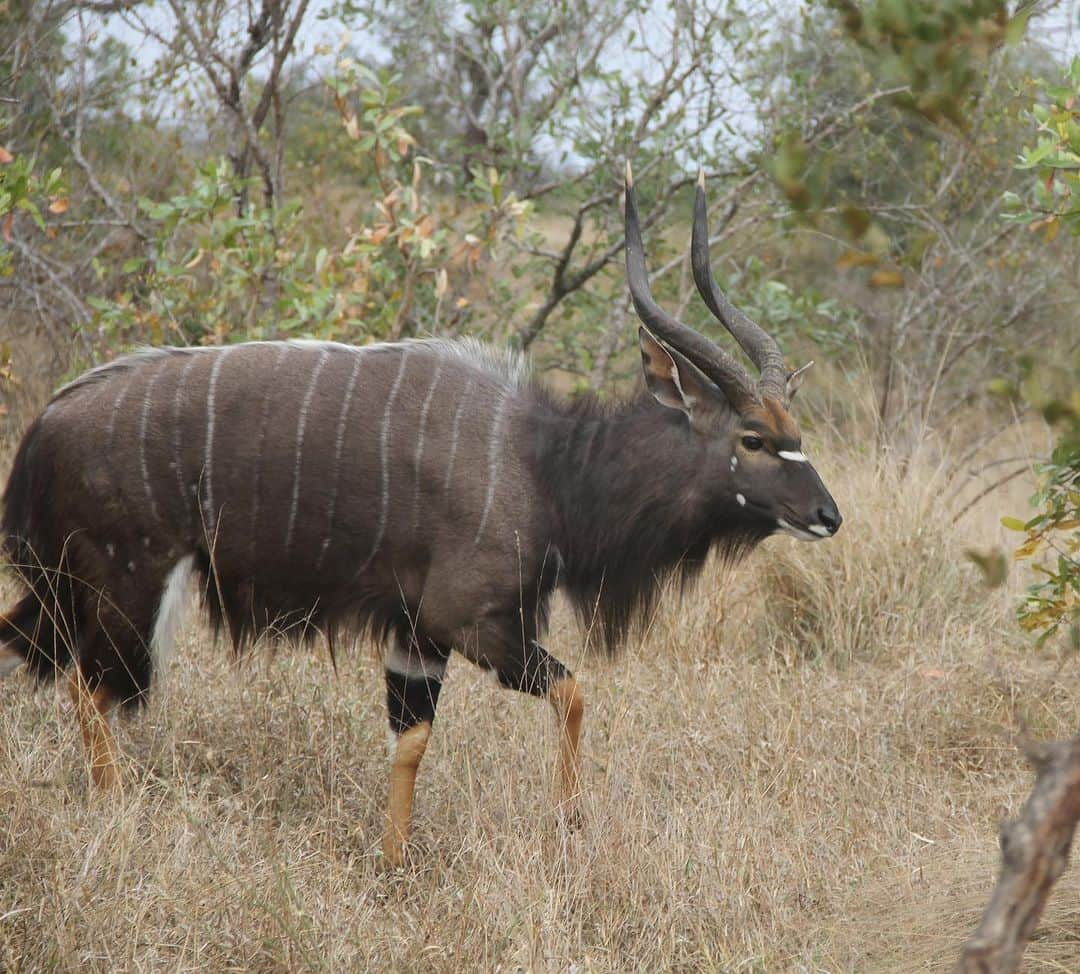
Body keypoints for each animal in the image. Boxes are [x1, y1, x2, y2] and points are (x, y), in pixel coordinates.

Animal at [0, 166, 838, 863]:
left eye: (793, 429)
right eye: (754, 437)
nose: (828, 515)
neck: (547, 465)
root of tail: (45, 426)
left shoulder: (417, 637)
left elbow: (412, 740)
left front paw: (395, 861)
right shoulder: (473, 622)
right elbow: (573, 693)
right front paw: (569, 823)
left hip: (67, 596)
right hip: (129, 591)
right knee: (90, 692)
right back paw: (116, 817)